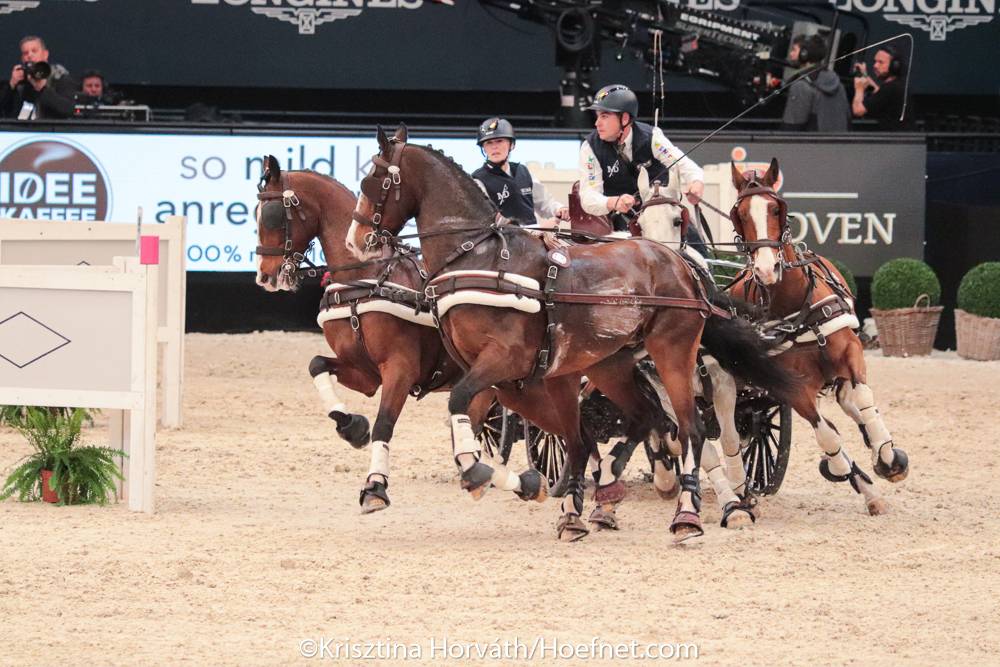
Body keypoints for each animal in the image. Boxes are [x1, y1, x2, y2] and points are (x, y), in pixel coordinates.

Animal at [345, 125, 800, 541]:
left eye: (373, 183)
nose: (355, 242)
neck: (482, 257)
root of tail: (679, 264)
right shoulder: (511, 382)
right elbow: (558, 438)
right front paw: (534, 486)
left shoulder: (504, 361)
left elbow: (462, 407)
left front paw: (480, 473)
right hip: (606, 366)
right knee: (645, 418)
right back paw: (607, 493)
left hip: (672, 354)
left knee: (692, 429)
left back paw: (688, 514)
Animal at [719, 157, 909, 515]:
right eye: (739, 213)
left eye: (776, 208)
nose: (766, 269)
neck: (796, 307)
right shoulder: (792, 387)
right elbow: (829, 436)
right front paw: (843, 469)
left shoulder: (851, 350)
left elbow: (863, 400)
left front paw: (889, 458)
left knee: (850, 401)